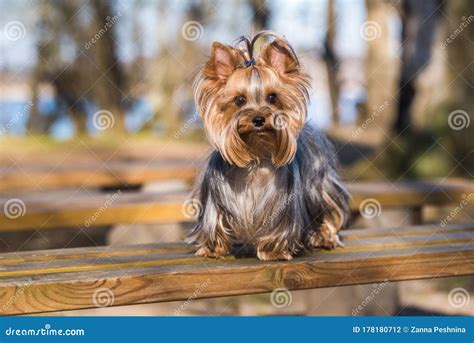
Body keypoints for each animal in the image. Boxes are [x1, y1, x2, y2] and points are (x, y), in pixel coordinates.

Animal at [188, 32, 348, 262]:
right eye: (239, 100)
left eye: (272, 97)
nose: (258, 119)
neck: (256, 154)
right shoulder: (213, 200)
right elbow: (214, 221)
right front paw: (212, 248)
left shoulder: (284, 206)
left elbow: (279, 228)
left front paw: (274, 251)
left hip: (320, 187)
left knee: (329, 209)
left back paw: (325, 238)